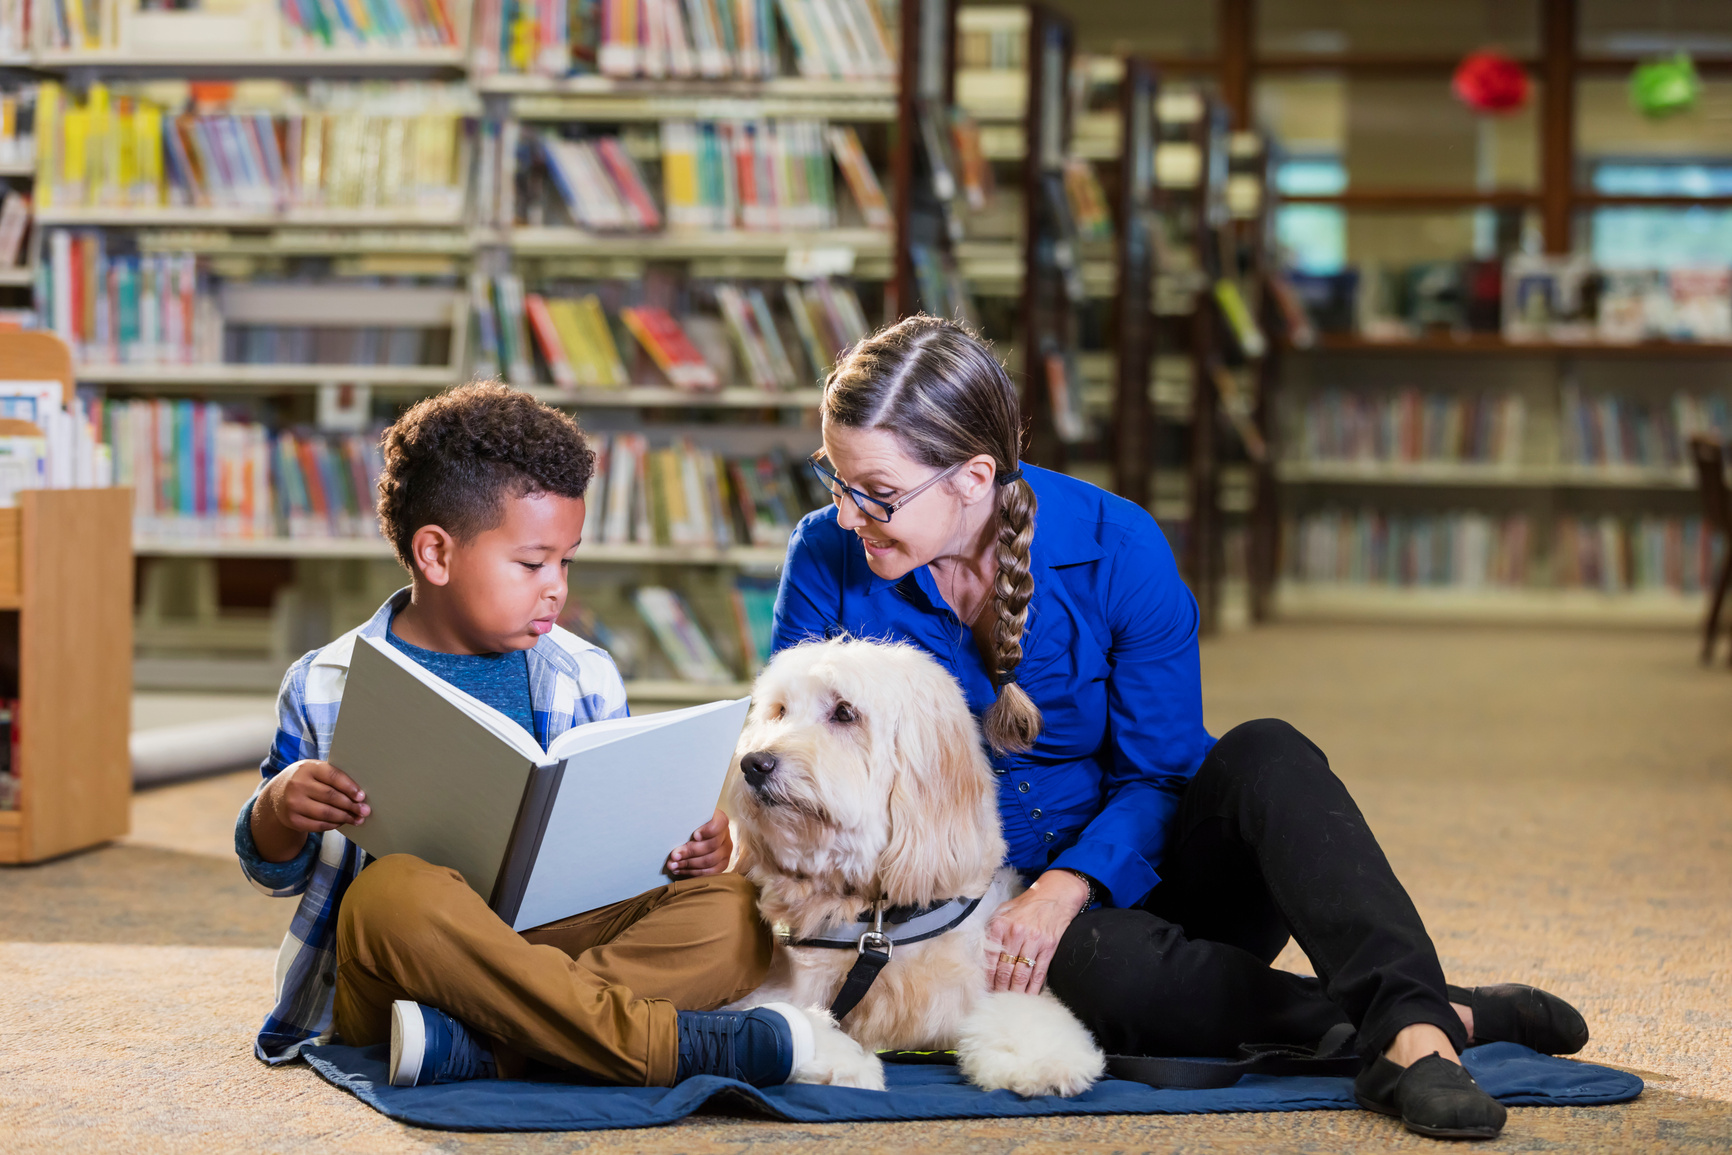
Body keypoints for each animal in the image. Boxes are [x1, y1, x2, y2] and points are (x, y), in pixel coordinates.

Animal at [720, 637, 1101, 1101]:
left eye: (844, 712)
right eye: (779, 711)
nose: (753, 764)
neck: (877, 915)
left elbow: (1023, 1013)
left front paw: (1045, 1060)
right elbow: (777, 1017)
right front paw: (841, 1062)